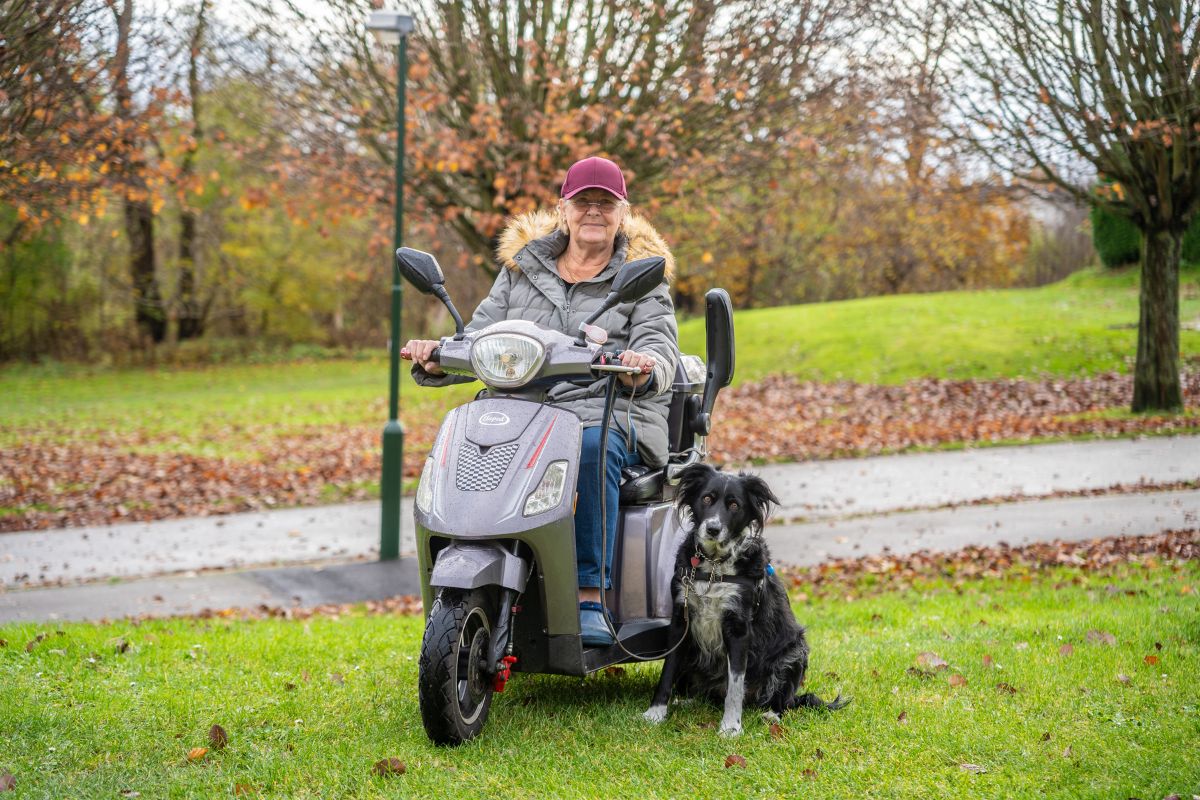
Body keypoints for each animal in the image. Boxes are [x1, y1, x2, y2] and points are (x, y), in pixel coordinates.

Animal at [648, 462, 844, 738]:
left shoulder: (739, 628)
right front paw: (655, 713)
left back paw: (772, 714)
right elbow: (667, 671)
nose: (712, 529)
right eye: (706, 498)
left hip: (794, 653)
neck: (715, 566)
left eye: (734, 505)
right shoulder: (681, 621)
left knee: (783, 700)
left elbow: (736, 683)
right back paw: (687, 700)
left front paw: (731, 726)